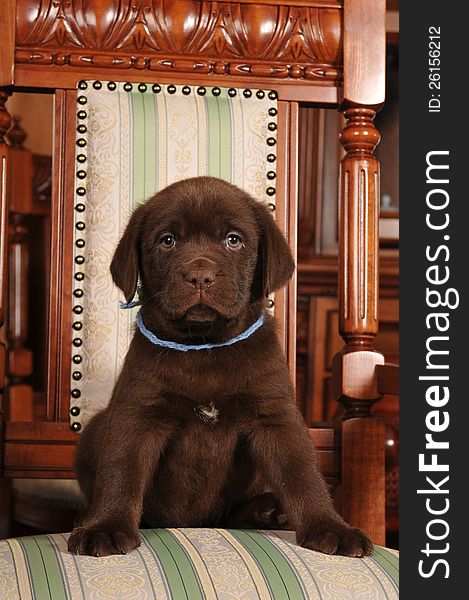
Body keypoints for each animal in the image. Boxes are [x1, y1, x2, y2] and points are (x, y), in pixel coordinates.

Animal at [67, 177, 372, 556]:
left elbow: (302, 474)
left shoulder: (275, 415)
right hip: (95, 429)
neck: (204, 346)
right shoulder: (137, 412)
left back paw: (268, 510)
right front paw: (105, 526)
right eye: (167, 240)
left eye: (233, 239)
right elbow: (121, 470)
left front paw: (330, 526)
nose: (200, 276)